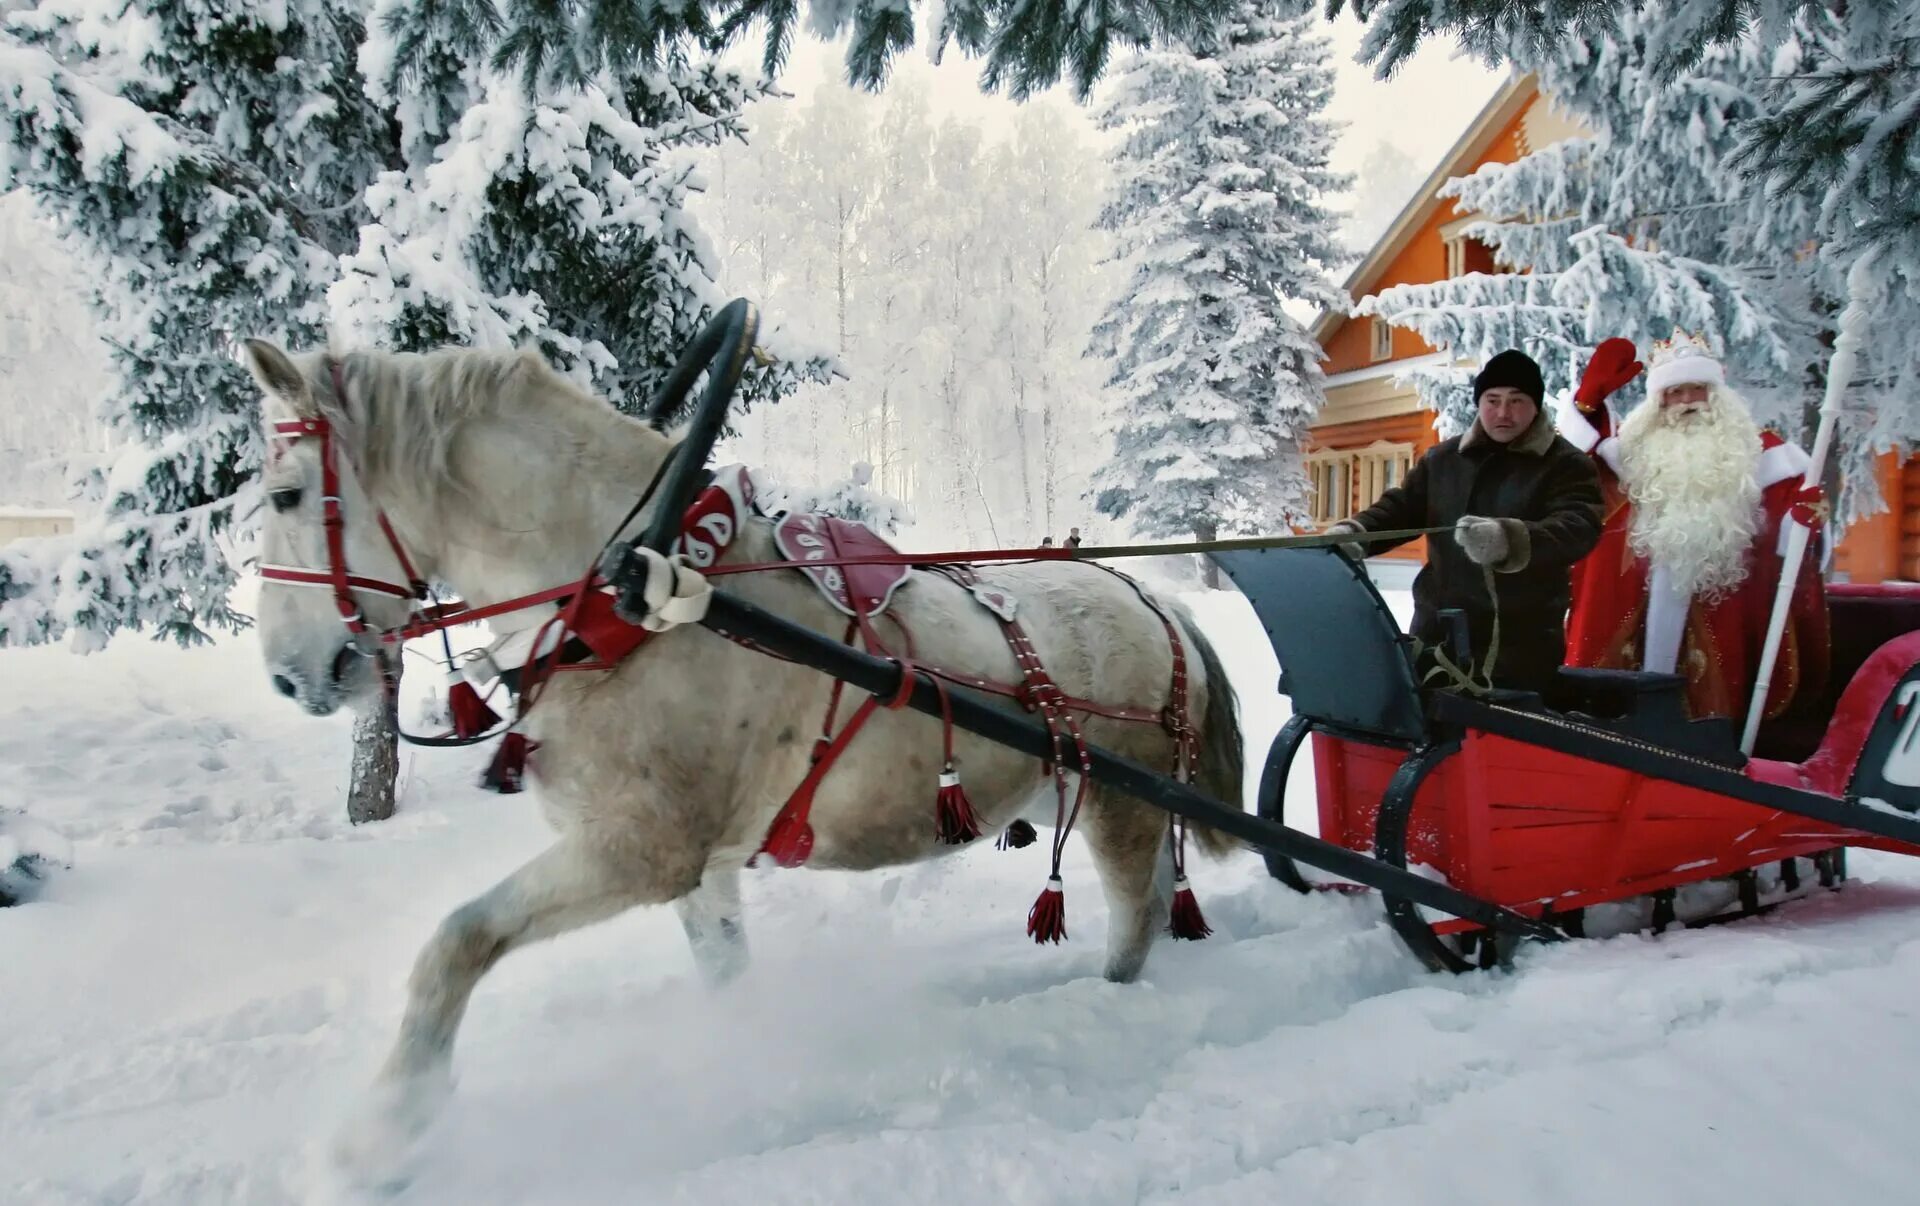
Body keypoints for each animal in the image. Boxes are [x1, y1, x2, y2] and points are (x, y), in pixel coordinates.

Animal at [243, 341, 1244, 1152]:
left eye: (287, 495)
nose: (288, 676)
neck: (636, 599)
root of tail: (1156, 601)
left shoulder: (640, 850)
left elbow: (456, 942)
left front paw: (383, 1136)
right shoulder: (702, 867)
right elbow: (723, 971)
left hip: (1121, 802)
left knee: (1132, 920)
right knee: (1158, 894)